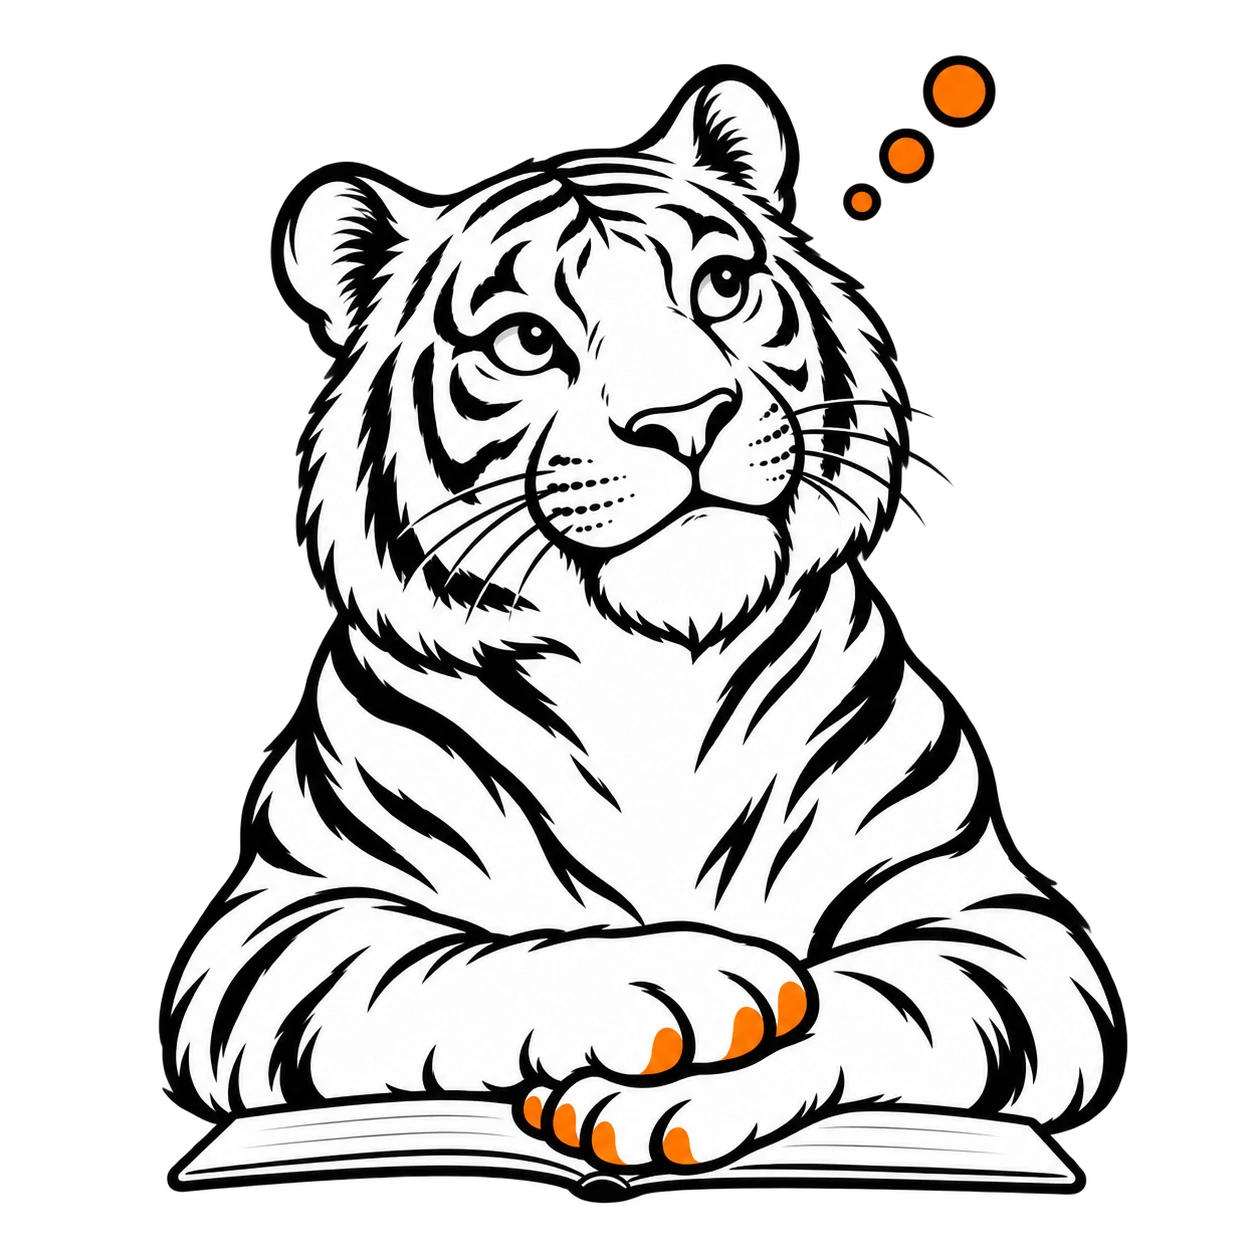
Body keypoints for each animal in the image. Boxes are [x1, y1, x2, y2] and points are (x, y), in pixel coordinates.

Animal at [161, 66, 1122, 1179]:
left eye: (721, 286)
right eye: (528, 341)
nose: (687, 417)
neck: (654, 663)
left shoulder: (997, 926)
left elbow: (867, 999)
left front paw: (682, 1092)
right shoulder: (277, 928)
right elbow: (458, 966)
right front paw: (673, 977)